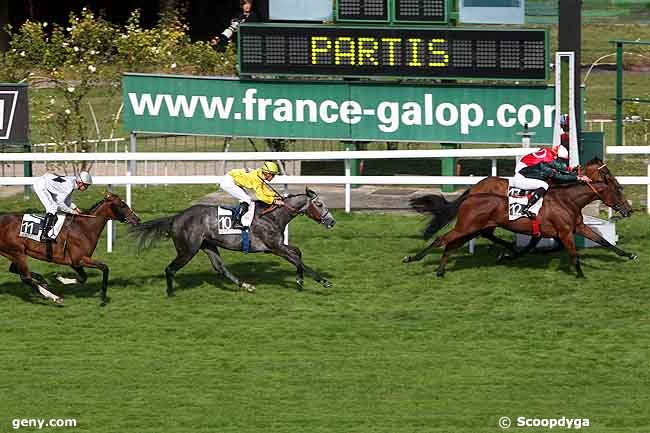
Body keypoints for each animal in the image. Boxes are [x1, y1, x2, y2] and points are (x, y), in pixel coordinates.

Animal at [0, 192, 140, 304]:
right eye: (122, 205)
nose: (137, 219)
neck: (83, 228)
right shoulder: (78, 260)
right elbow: (104, 268)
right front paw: (103, 297)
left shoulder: (76, 263)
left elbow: (84, 278)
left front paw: (60, 278)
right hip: (17, 252)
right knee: (25, 277)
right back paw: (54, 297)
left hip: (14, 252)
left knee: (15, 270)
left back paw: (42, 281)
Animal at [130, 187, 336, 296]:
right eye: (319, 204)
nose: (332, 221)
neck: (273, 216)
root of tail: (176, 217)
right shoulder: (275, 247)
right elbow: (299, 260)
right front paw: (323, 281)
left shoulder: (276, 246)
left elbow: (298, 253)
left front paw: (299, 280)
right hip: (188, 250)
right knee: (170, 268)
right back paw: (171, 292)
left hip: (208, 246)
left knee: (220, 268)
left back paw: (246, 285)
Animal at [402, 158, 632, 276]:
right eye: (617, 188)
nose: (629, 210)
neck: (566, 199)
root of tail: (473, 193)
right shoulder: (564, 232)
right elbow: (573, 253)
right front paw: (580, 274)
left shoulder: (576, 228)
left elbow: (603, 241)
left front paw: (629, 255)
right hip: (467, 227)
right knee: (442, 239)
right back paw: (412, 258)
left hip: (472, 228)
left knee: (452, 244)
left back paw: (441, 271)